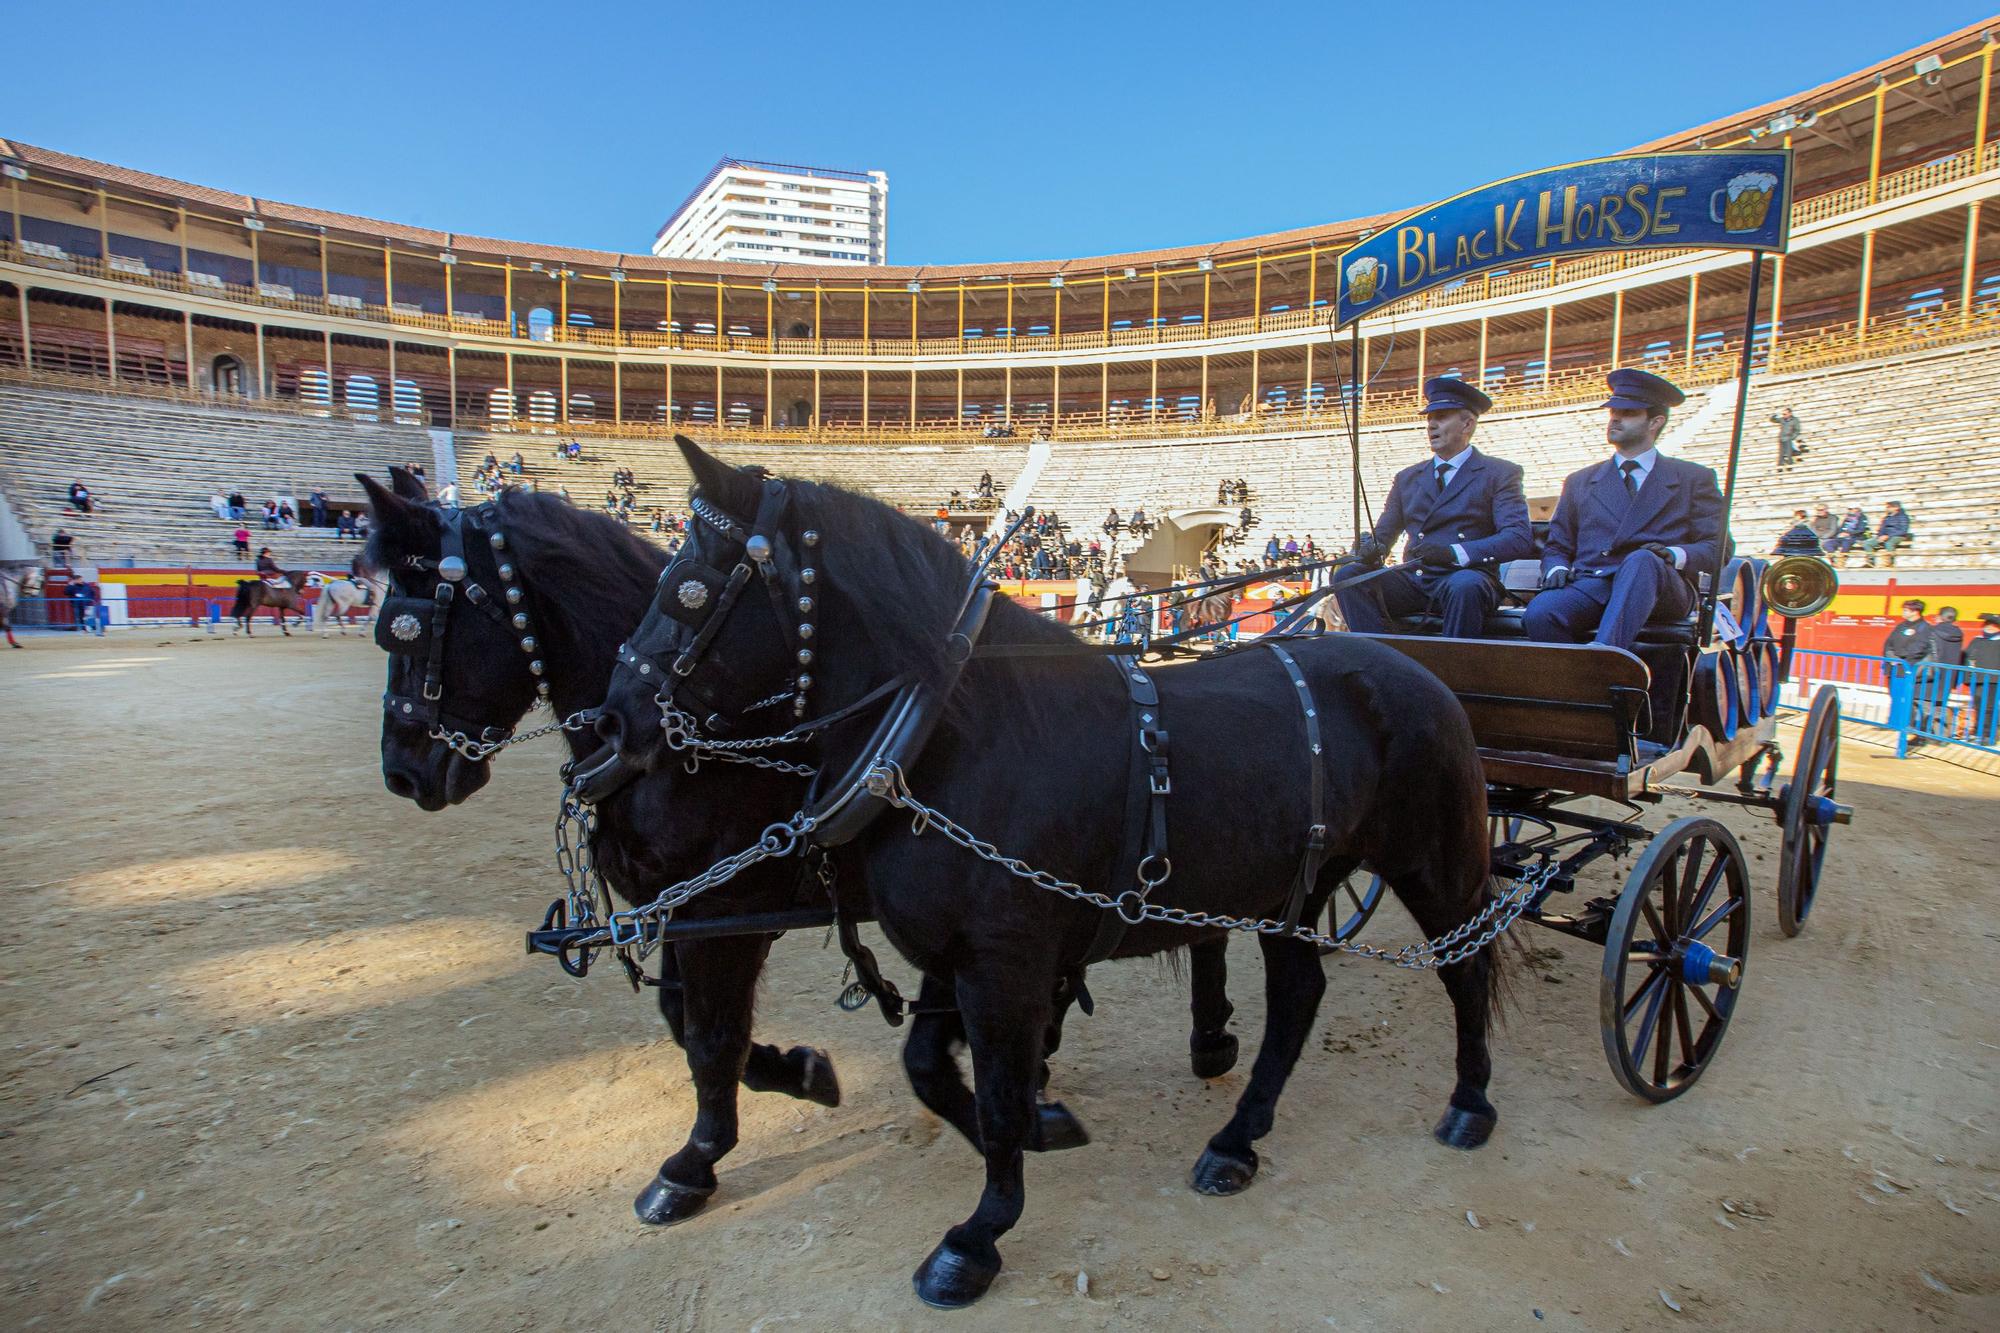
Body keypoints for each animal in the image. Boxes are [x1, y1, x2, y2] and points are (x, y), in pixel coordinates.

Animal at [600, 438, 1504, 1304]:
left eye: (689, 589)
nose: (610, 723)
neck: (953, 734)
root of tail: (1410, 667)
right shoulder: (952, 956)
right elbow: (929, 1069)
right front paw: (1042, 1131)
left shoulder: (1005, 963)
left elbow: (996, 1098)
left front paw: (978, 1234)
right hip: (1295, 889)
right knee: (1297, 997)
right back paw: (1236, 1140)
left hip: (1433, 862)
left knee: (1464, 965)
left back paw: (1468, 1102)